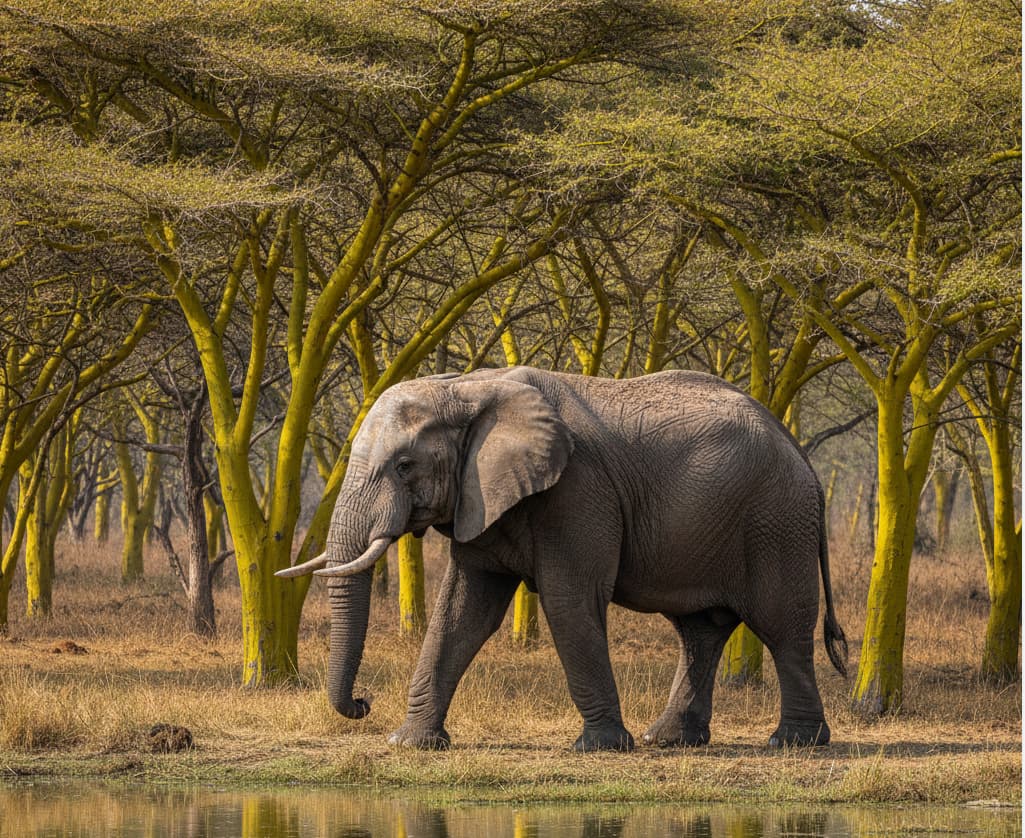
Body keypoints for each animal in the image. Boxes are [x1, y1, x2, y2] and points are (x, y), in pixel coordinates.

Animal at [278, 366, 848, 752]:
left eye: (403, 465)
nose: (363, 702)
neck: (469, 388)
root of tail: (802, 454)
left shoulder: (577, 491)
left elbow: (569, 600)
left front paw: (600, 748)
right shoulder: (480, 496)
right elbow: (462, 612)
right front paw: (411, 743)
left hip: (776, 521)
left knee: (781, 627)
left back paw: (793, 742)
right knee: (700, 630)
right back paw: (669, 740)